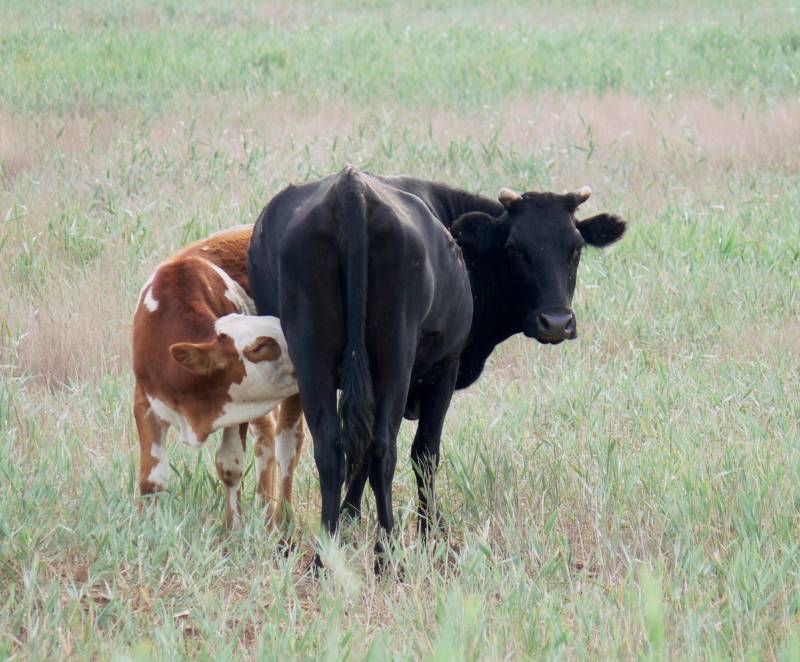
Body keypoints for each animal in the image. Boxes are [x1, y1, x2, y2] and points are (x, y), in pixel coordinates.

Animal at [131, 227, 306, 528]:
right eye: (261, 346)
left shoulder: (237, 409)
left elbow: (230, 466)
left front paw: (233, 528)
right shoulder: (145, 402)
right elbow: (151, 480)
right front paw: (146, 528)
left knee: (288, 444)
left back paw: (281, 521)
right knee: (267, 437)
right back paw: (265, 508)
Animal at [248, 167, 624, 564]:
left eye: (575, 248)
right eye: (515, 248)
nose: (555, 322)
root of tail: (351, 189)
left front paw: (350, 520)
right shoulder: (446, 369)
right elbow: (425, 453)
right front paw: (432, 534)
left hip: (312, 358)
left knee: (333, 448)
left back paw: (325, 556)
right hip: (395, 358)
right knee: (384, 449)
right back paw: (388, 556)